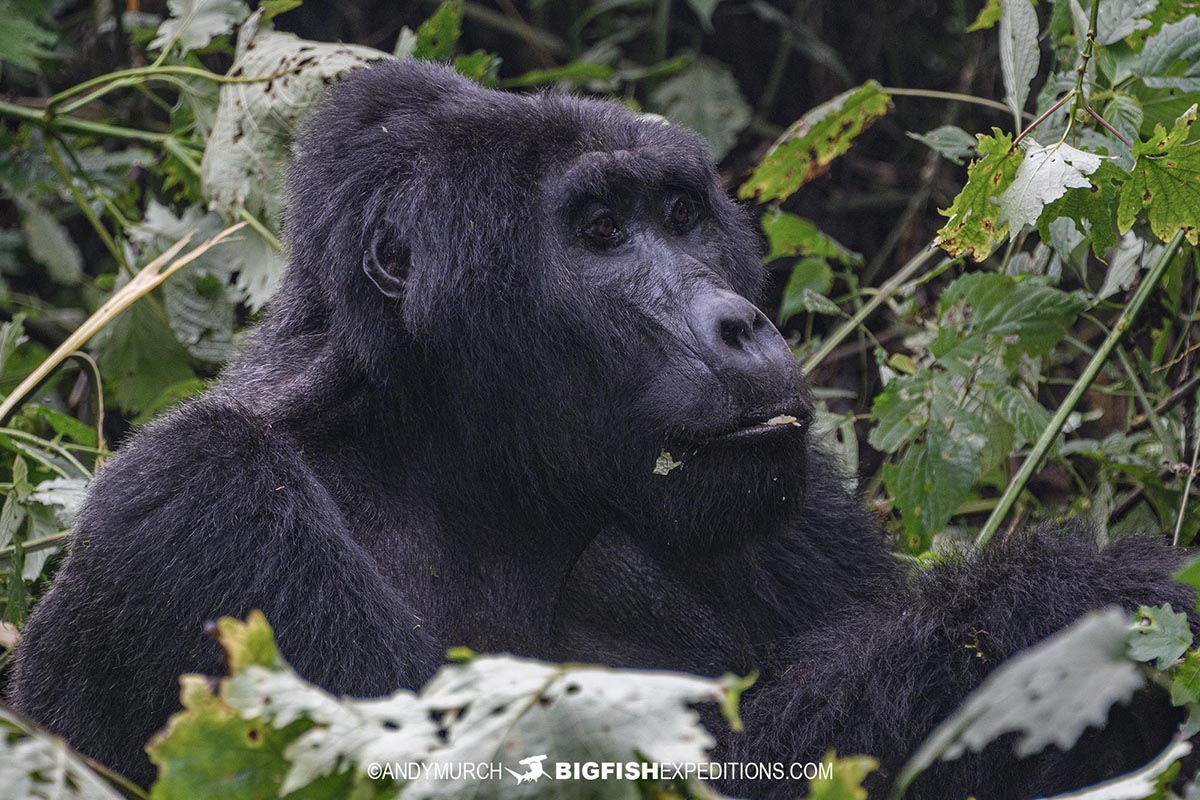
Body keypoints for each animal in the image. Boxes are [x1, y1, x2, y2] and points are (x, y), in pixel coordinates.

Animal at [7, 59, 1190, 796]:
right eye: (601, 232)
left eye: (681, 216)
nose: (741, 322)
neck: (443, 453)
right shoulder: (201, 506)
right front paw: (1081, 610)